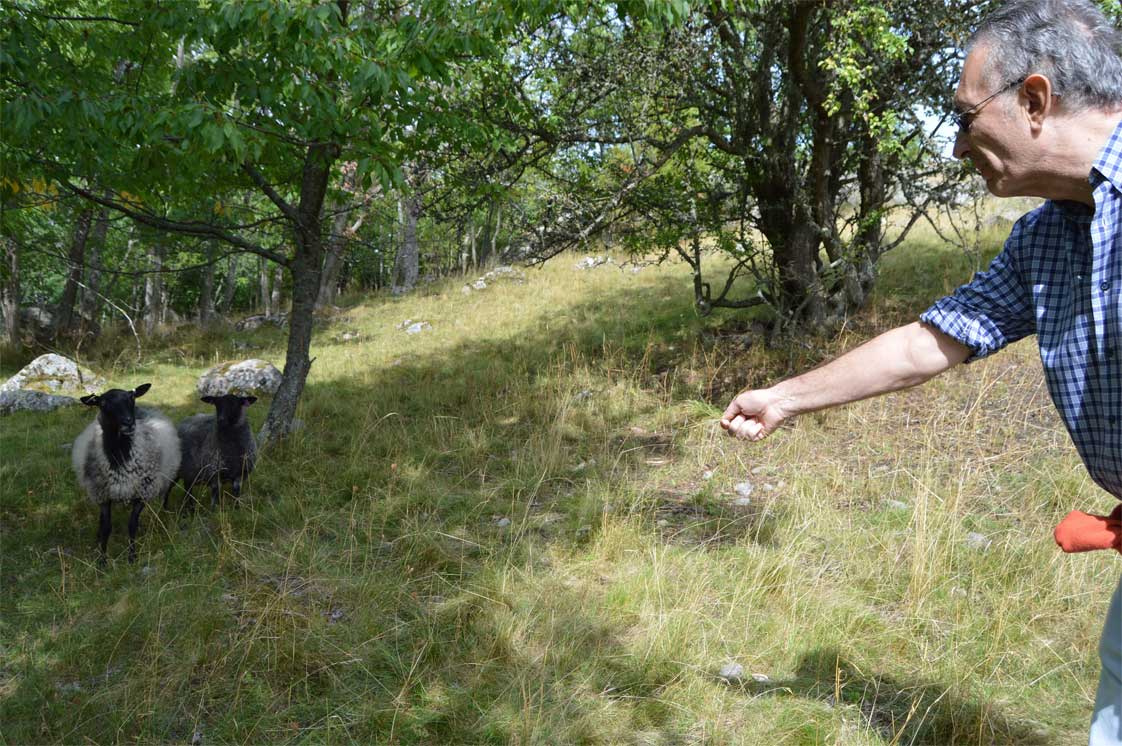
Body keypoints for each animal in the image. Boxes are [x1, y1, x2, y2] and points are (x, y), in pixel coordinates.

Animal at [72, 383, 180, 563]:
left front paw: (132, 556)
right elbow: (107, 527)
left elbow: (132, 525)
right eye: (103, 404)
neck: (120, 458)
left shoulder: (142, 493)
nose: (128, 423)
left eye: (132, 397)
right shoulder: (103, 495)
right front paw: (102, 559)